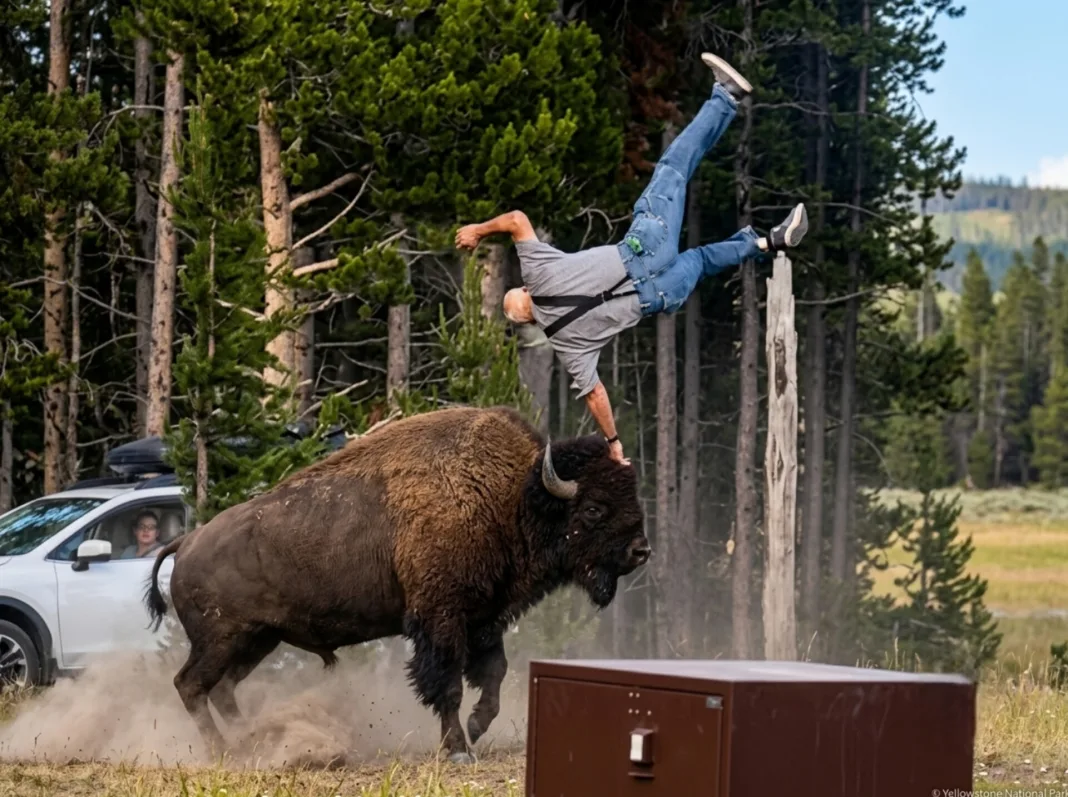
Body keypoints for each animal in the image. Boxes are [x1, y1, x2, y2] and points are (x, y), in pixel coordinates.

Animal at [144, 405, 650, 763]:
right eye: (593, 509)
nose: (640, 551)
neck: (513, 495)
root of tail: (187, 541)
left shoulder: (483, 617)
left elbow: (494, 673)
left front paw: (478, 727)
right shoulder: (440, 618)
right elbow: (446, 682)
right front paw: (459, 748)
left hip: (257, 640)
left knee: (223, 689)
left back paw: (253, 739)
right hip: (220, 640)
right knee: (191, 685)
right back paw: (225, 752)